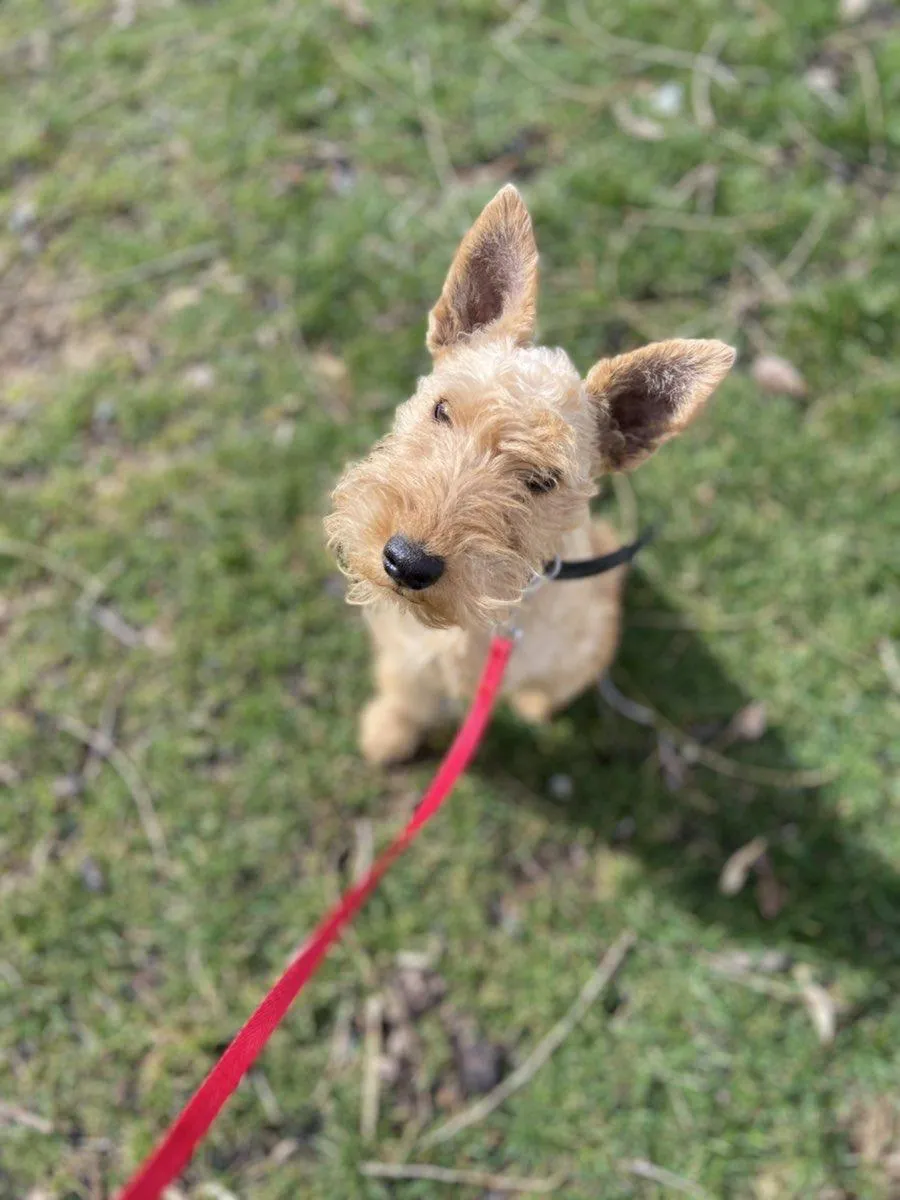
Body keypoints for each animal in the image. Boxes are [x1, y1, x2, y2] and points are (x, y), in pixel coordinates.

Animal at [328, 187, 734, 768]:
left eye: (543, 479)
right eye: (442, 410)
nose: (406, 563)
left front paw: (531, 708)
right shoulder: (404, 651)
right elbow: (404, 691)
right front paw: (386, 734)